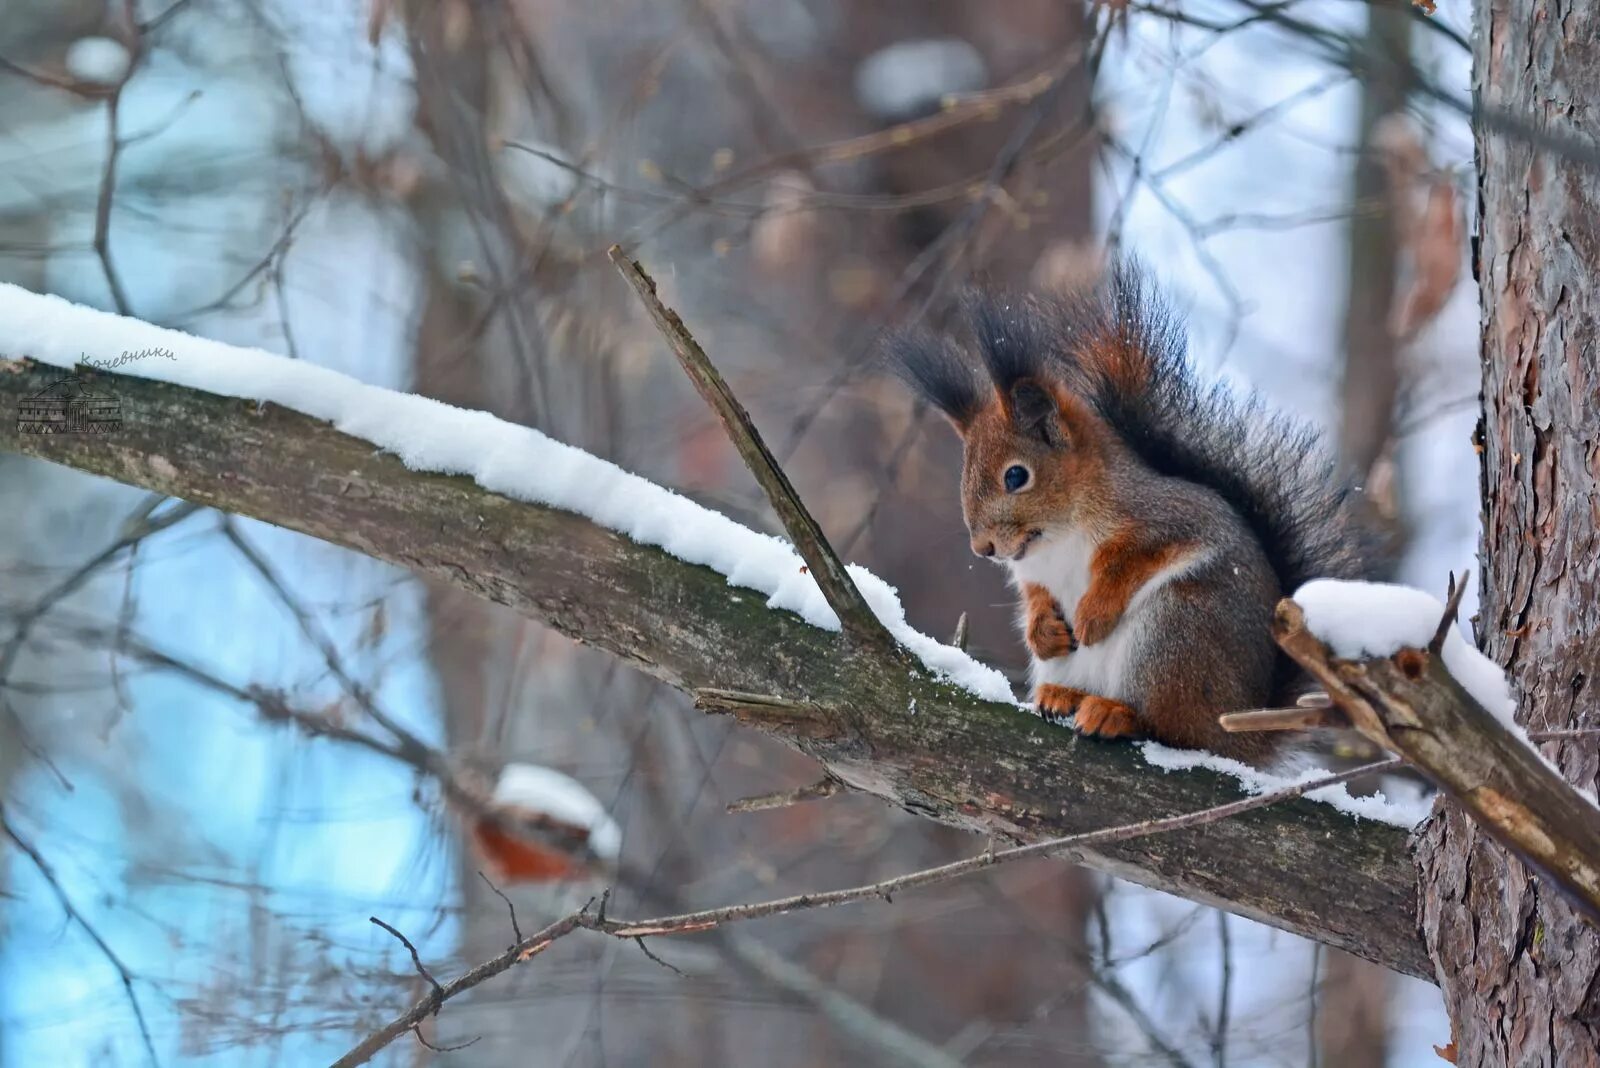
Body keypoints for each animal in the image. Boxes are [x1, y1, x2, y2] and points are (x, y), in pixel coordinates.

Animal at [896, 262, 1382, 764]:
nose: (984, 547)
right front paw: (1043, 630)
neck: (1059, 536)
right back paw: (1063, 696)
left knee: (1174, 730)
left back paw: (1117, 714)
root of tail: (1241, 735)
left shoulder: (1171, 518)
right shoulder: (1034, 573)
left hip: (1174, 636)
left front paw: (1093, 614)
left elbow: (1135, 560)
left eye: (1016, 476)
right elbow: (1035, 595)